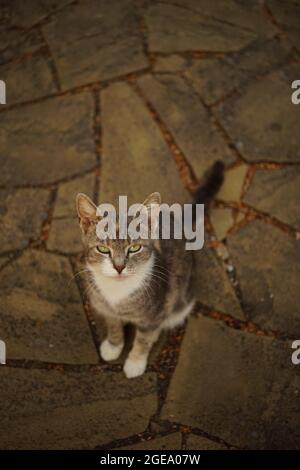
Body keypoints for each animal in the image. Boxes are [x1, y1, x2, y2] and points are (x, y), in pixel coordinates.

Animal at [76, 162, 224, 378]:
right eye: (103, 249)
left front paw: (135, 362)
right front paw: (113, 345)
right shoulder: (104, 305)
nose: (119, 267)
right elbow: (113, 325)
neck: (118, 293)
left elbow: (143, 339)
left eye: (135, 248)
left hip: (179, 301)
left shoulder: (153, 315)